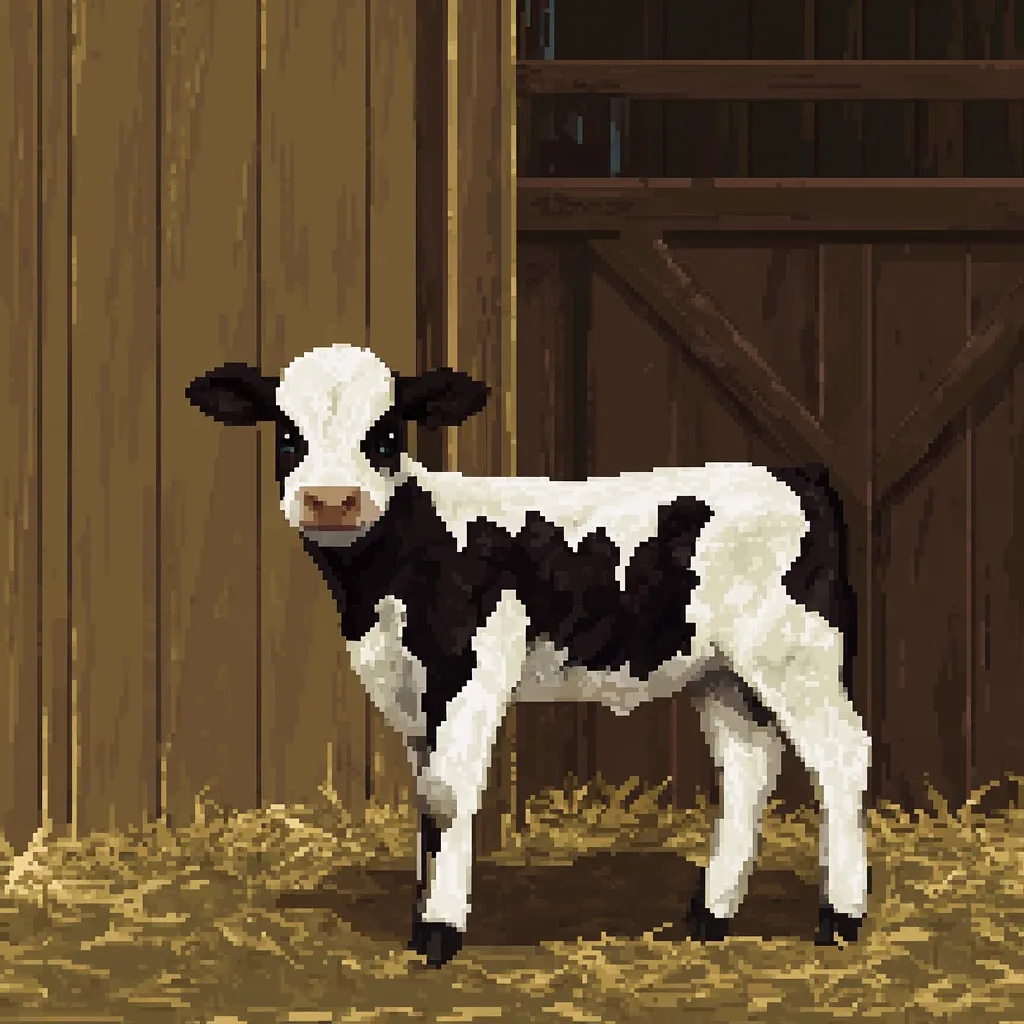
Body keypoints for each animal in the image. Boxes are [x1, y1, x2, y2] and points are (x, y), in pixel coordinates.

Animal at [186, 342, 872, 968]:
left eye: (385, 435)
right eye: (286, 434)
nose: (332, 500)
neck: (393, 574)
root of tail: (797, 474)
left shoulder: (472, 670)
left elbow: (447, 795)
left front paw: (440, 930)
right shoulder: (407, 688)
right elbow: (424, 799)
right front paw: (420, 914)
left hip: (794, 651)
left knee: (840, 755)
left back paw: (840, 919)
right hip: (723, 671)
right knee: (748, 765)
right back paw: (710, 915)